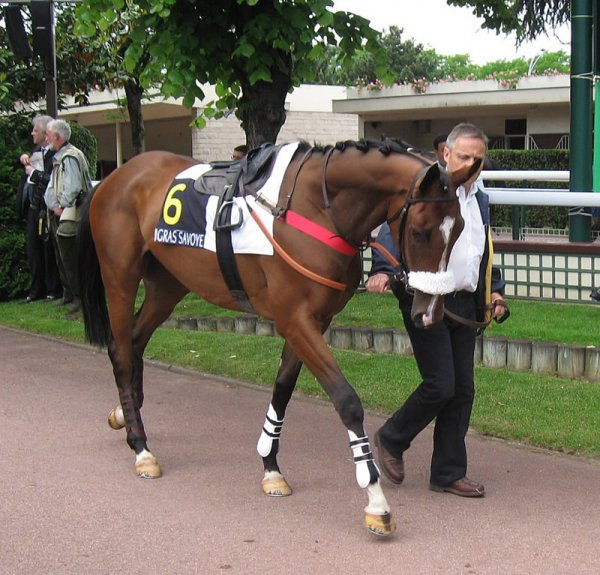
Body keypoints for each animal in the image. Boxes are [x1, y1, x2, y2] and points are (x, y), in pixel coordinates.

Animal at [78, 142, 468, 536]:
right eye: (420, 231)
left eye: (460, 230)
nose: (429, 313)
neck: (315, 209)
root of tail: (113, 177)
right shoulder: (295, 319)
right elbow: (346, 401)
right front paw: (376, 501)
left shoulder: (314, 321)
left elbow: (282, 389)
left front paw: (270, 467)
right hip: (121, 278)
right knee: (121, 351)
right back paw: (141, 448)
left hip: (167, 283)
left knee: (134, 343)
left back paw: (125, 415)